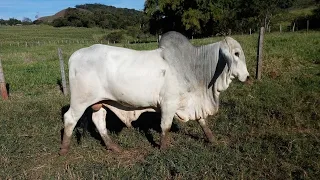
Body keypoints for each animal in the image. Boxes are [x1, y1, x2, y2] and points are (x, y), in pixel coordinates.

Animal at [60, 31, 250, 155]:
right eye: (236, 53)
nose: (247, 77)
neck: (193, 66)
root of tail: (75, 55)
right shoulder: (168, 103)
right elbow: (165, 126)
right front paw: (164, 149)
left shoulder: (192, 102)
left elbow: (202, 121)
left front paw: (212, 140)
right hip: (80, 101)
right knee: (69, 119)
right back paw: (64, 150)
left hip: (99, 102)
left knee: (98, 121)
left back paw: (113, 147)